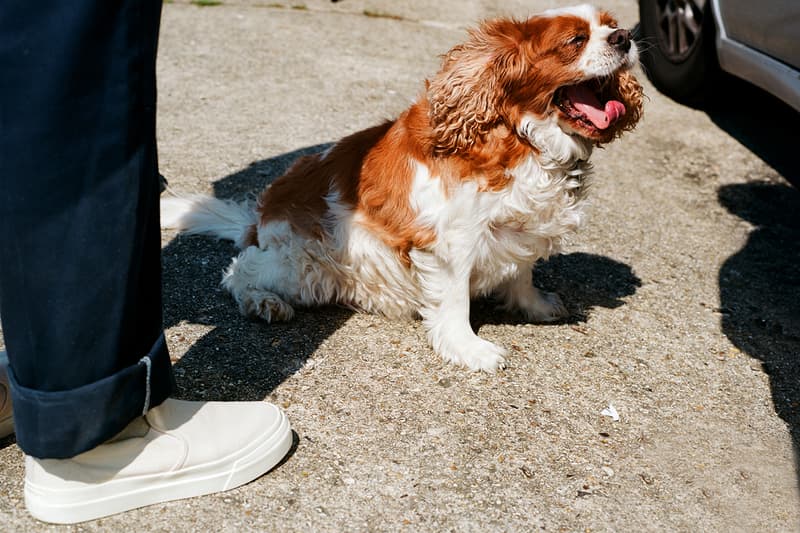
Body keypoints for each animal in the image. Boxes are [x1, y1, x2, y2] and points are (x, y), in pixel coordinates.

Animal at [162, 3, 644, 370]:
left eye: (611, 24)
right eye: (575, 40)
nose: (624, 38)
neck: (523, 141)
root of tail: (258, 220)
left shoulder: (522, 229)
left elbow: (522, 271)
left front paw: (534, 304)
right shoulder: (452, 241)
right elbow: (455, 302)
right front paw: (468, 348)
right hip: (302, 264)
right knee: (239, 270)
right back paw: (262, 301)